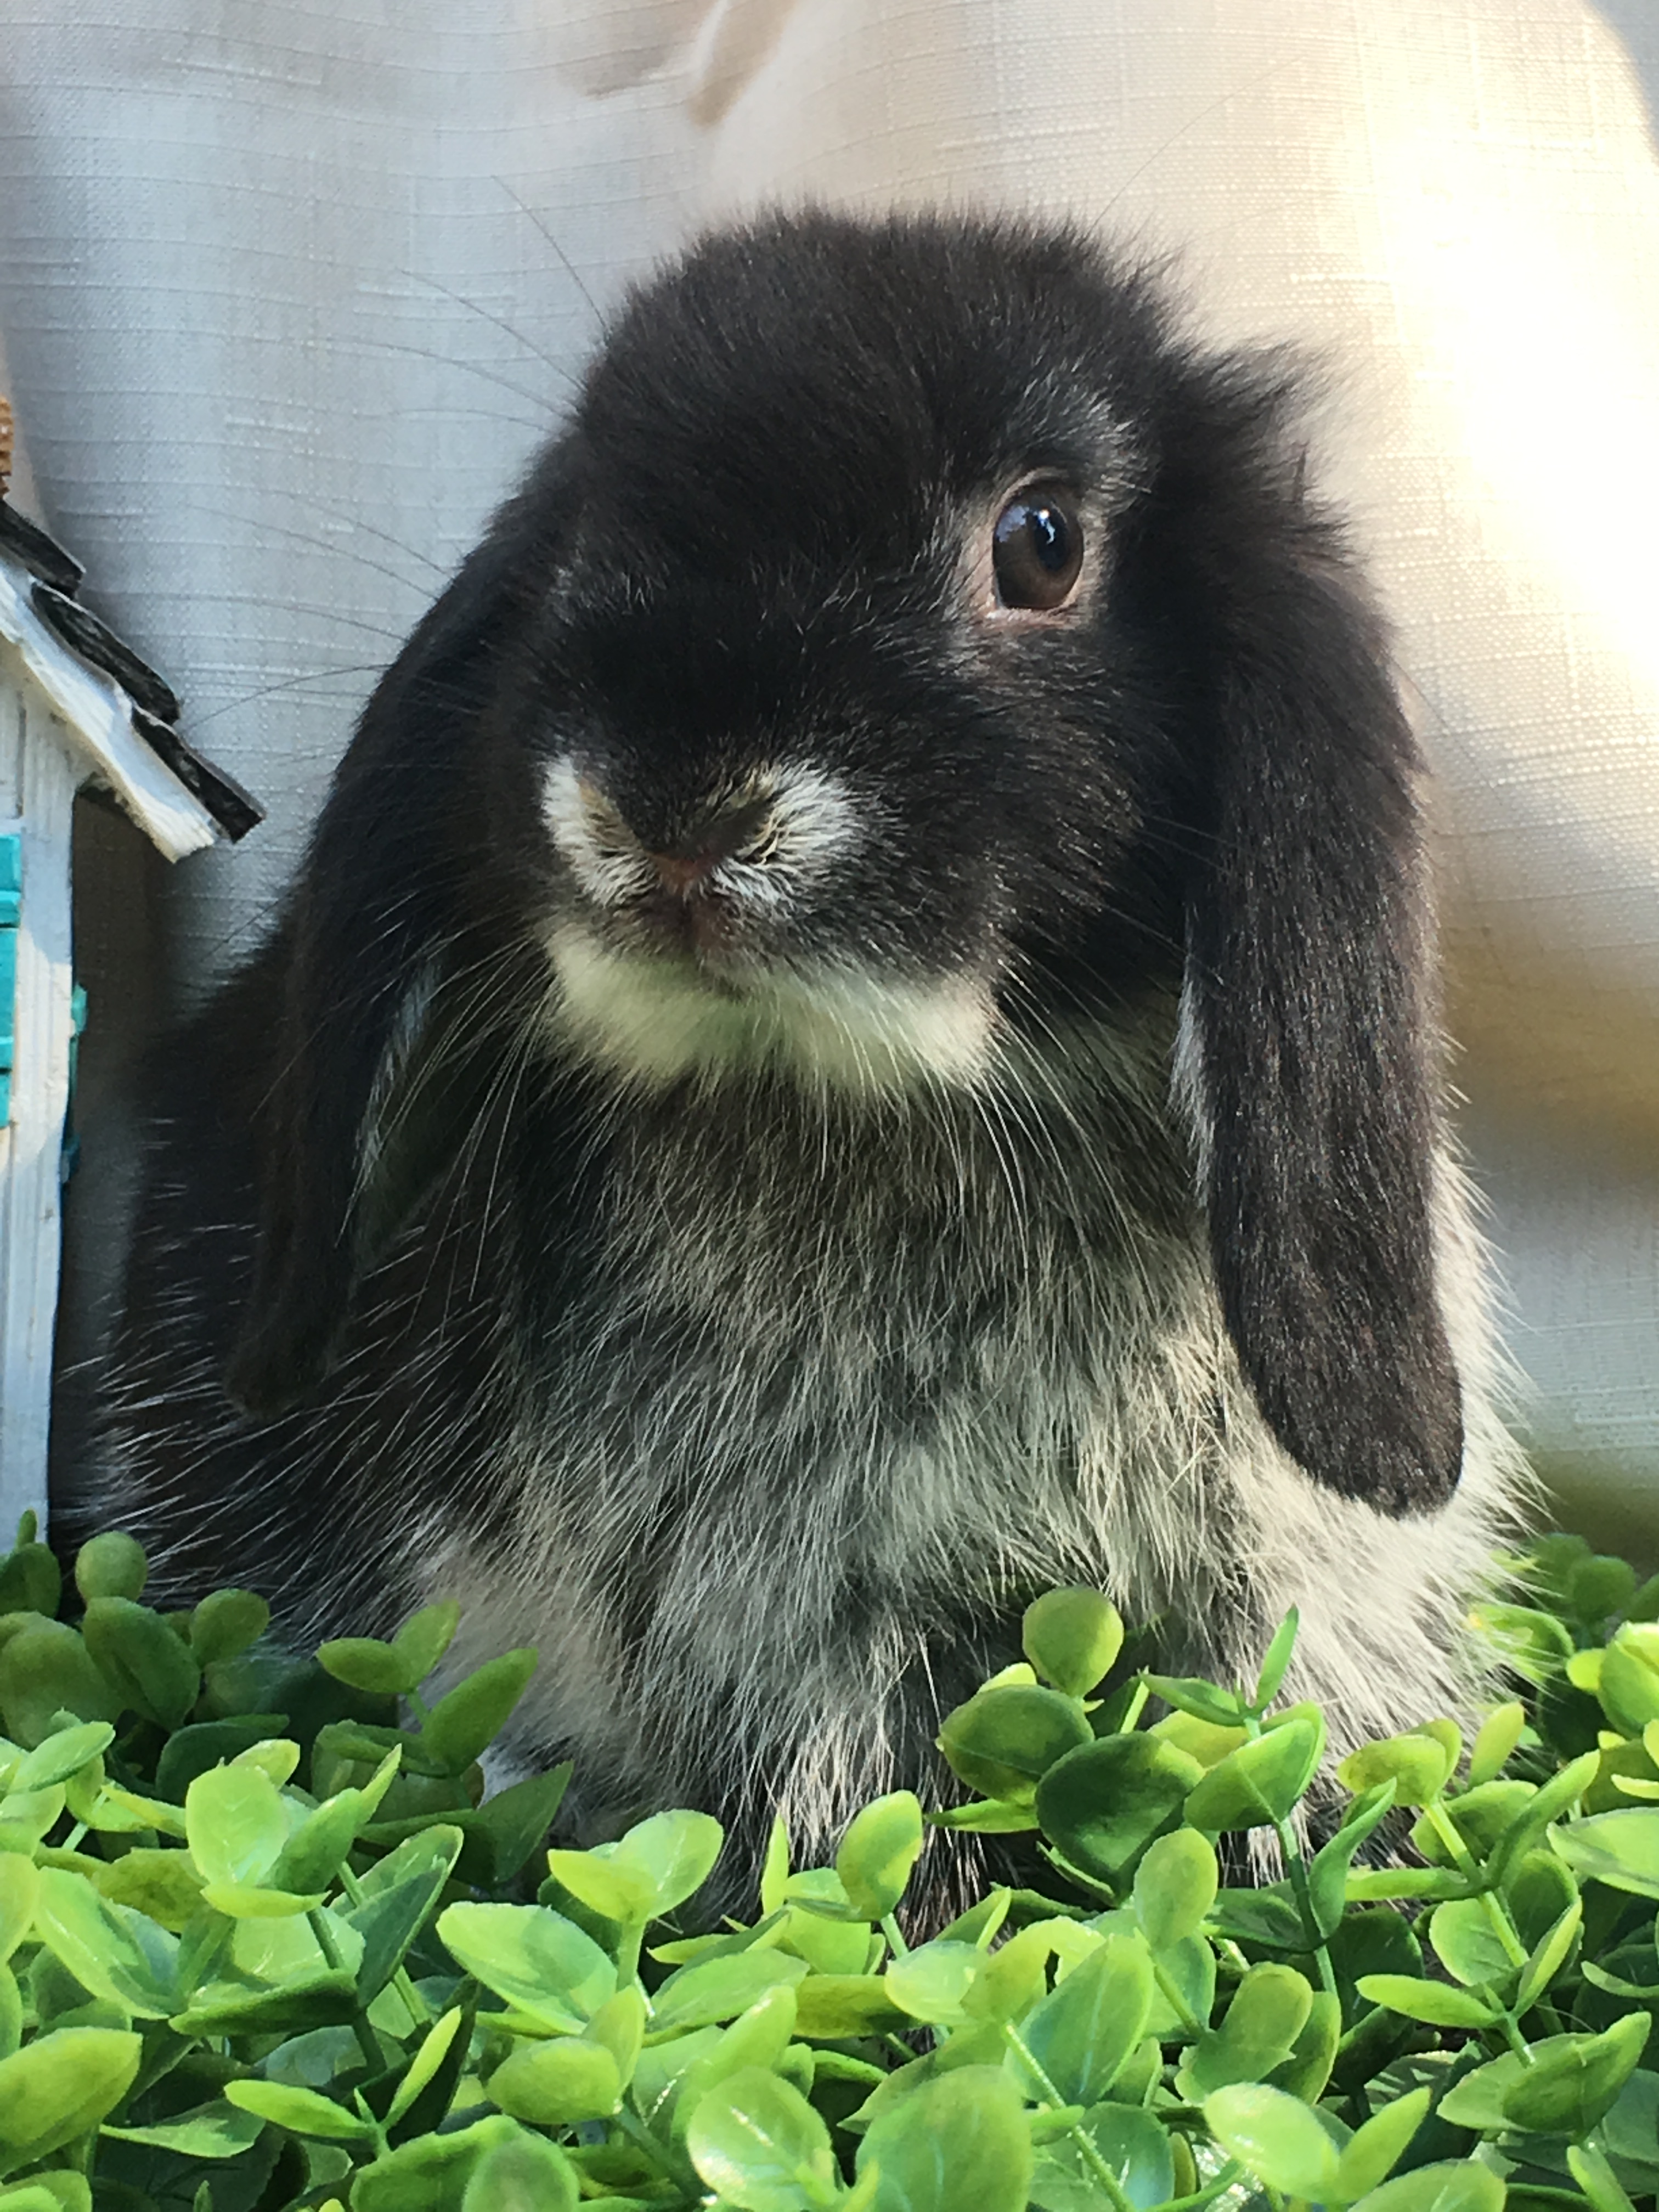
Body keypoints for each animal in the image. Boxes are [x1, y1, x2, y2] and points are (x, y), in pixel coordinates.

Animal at [95, 207, 1525, 1887]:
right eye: (580, 542)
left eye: (1042, 542)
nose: (677, 808)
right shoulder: (806, 1628)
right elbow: (873, 1824)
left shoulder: (1260, 1592)